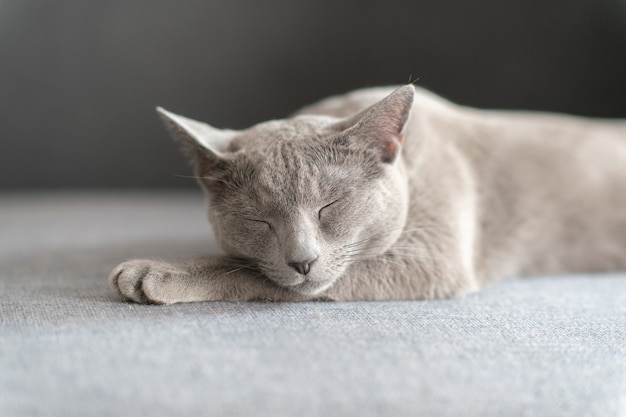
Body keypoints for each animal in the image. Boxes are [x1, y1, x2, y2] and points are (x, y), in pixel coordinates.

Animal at [108, 85, 624, 302]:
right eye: (260, 220)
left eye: (329, 207)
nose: (302, 260)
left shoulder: (430, 258)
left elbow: (247, 271)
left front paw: (159, 273)